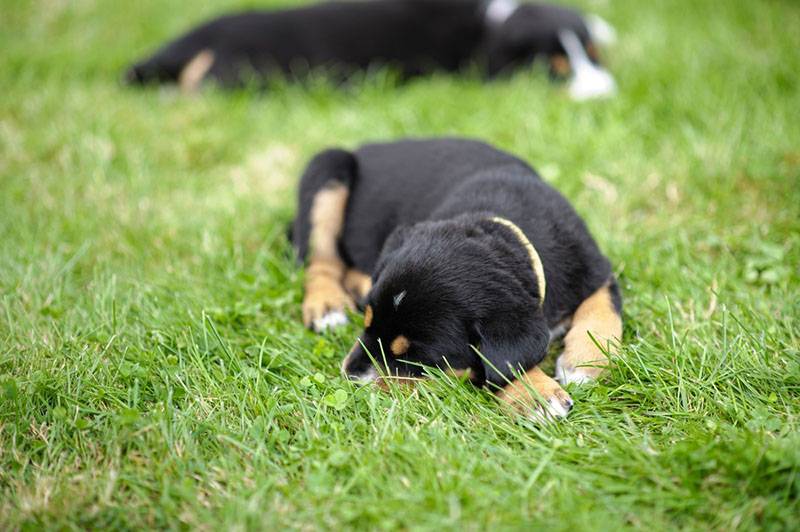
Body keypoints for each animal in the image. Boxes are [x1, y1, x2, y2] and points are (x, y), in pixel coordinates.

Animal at [290, 139, 620, 422]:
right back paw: (327, 305)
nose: (351, 377)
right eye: (367, 325)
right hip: (327, 170)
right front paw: (537, 396)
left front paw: (584, 364)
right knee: (320, 262)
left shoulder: (594, 267)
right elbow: (503, 365)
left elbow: (603, 312)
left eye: (415, 359)